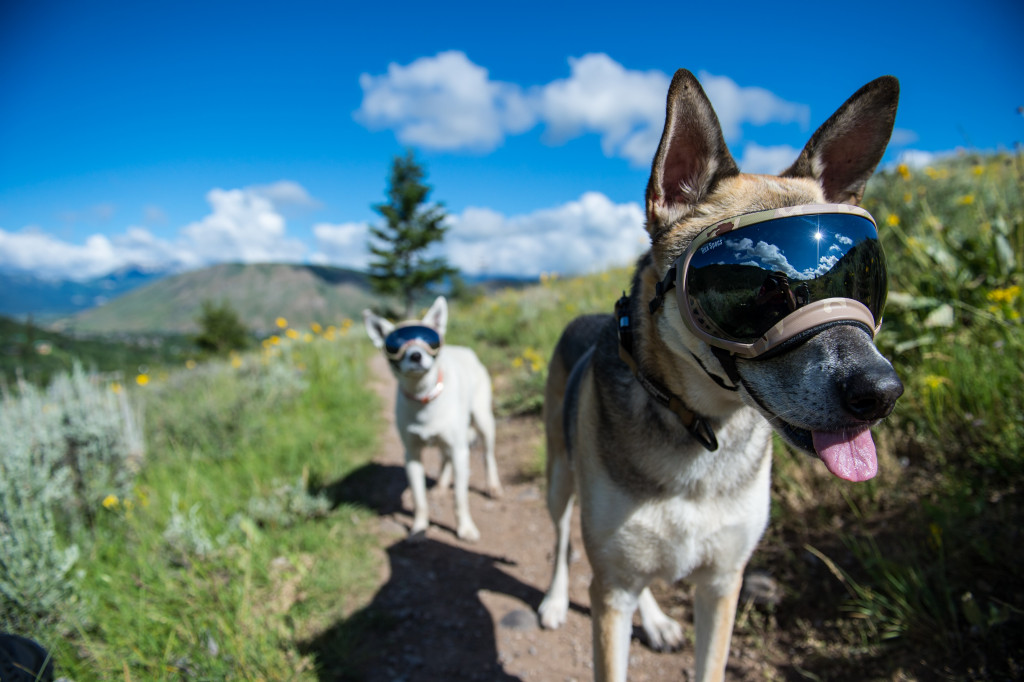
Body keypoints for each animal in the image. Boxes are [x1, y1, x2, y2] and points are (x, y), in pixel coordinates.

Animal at [362, 294, 501, 540]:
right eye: (394, 346)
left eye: (429, 341)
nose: (416, 355)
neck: (424, 397)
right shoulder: (412, 456)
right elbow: (419, 500)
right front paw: (419, 528)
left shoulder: (460, 451)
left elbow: (460, 498)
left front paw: (465, 529)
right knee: (445, 459)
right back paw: (441, 486)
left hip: (483, 420)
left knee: (488, 456)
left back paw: (492, 486)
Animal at [540, 70, 901, 679]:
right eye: (763, 293)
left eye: (865, 278)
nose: (881, 392)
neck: (700, 426)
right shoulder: (610, 592)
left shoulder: (722, 583)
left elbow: (709, 658)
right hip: (561, 476)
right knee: (564, 534)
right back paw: (552, 599)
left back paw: (656, 619)